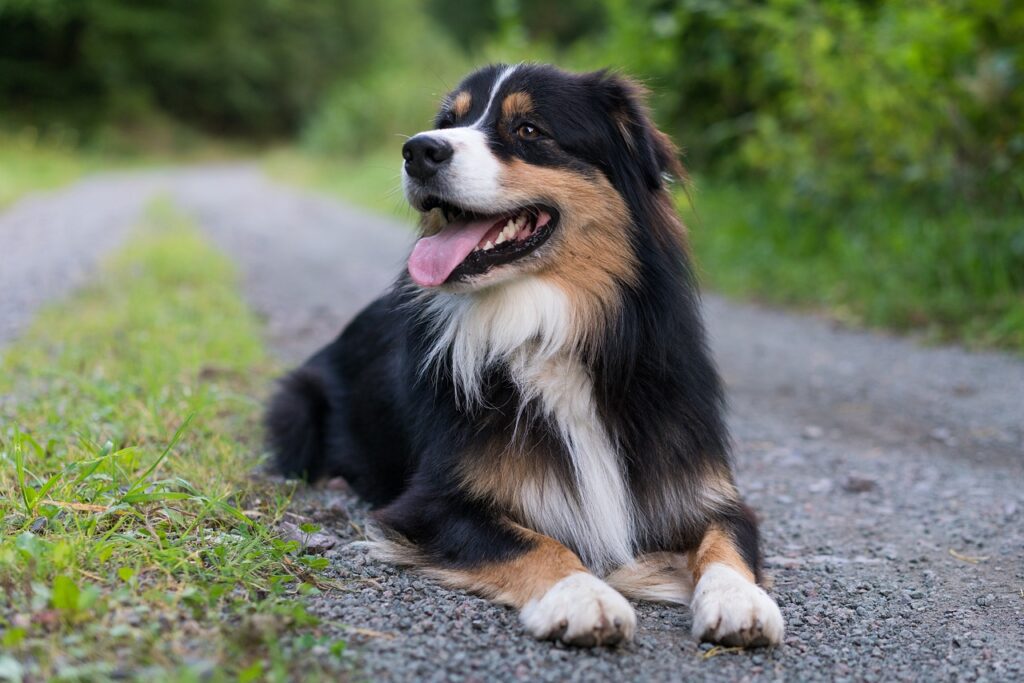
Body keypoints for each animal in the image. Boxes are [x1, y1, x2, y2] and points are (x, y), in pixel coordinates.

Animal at [264, 62, 782, 647]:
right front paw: (584, 597)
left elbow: (727, 540)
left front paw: (740, 600)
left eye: (529, 130)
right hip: (296, 404)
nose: (418, 151)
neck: (548, 330)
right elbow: (535, 542)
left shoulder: (702, 489)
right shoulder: (431, 502)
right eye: (448, 122)